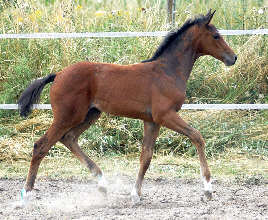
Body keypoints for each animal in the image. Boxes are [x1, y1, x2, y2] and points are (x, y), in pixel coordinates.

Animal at [18, 10, 237, 203]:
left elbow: (146, 157)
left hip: (90, 114)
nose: (233, 57)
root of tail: (58, 75)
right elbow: (197, 137)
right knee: (41, 146)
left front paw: (135, 194)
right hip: (67, 116)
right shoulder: (165, 115)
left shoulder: (152, 121)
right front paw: (208, 190)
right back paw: (26, 195)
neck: (167, 72)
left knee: (69, 138)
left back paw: (102, 184)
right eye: (216, 36)